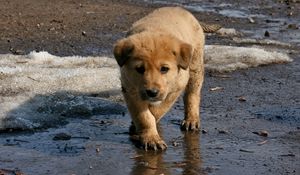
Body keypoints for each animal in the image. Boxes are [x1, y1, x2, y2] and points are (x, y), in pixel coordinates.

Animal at [113, 6, 205, 150]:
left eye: (164, 69)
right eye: (140, 69)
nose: (152, 92)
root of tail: (177, 8)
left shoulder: (175, 88)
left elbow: (158, 110)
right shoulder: (129, 88)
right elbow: (143, 116)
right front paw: (151, 138)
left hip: (195, 66)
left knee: (192, 94)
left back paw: (191, 119)